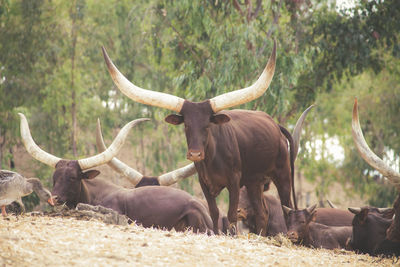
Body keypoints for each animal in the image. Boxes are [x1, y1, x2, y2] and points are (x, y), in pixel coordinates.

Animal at [102, 40, 296, 236]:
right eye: (186, 125)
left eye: (207, 125)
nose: (195, 154)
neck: (213, 159)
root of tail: (275, 125)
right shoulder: (204, 182)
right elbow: (214, 212)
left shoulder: (234, 180)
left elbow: (231, 213)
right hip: (254, 181)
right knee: (262, 212)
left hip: (283, 173)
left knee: (286, 206)